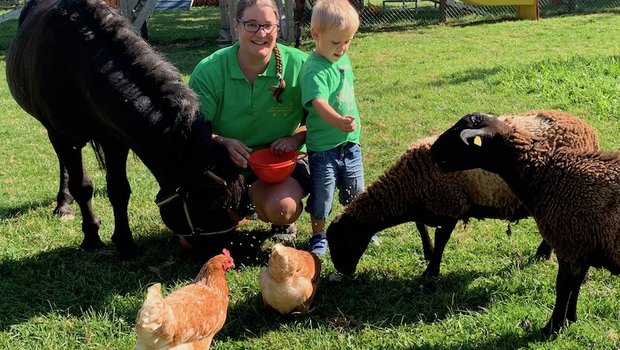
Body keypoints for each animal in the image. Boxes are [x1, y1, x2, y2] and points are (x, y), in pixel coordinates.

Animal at [7, 0, 245, 258]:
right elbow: (82, 187)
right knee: (65, 167)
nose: (223, 251)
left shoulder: (115, 140)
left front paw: (125, 243)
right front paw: (91, 236)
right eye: (212, 209)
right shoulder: (62, 136)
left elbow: (119, 190)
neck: (78, 68)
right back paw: (63, 204)